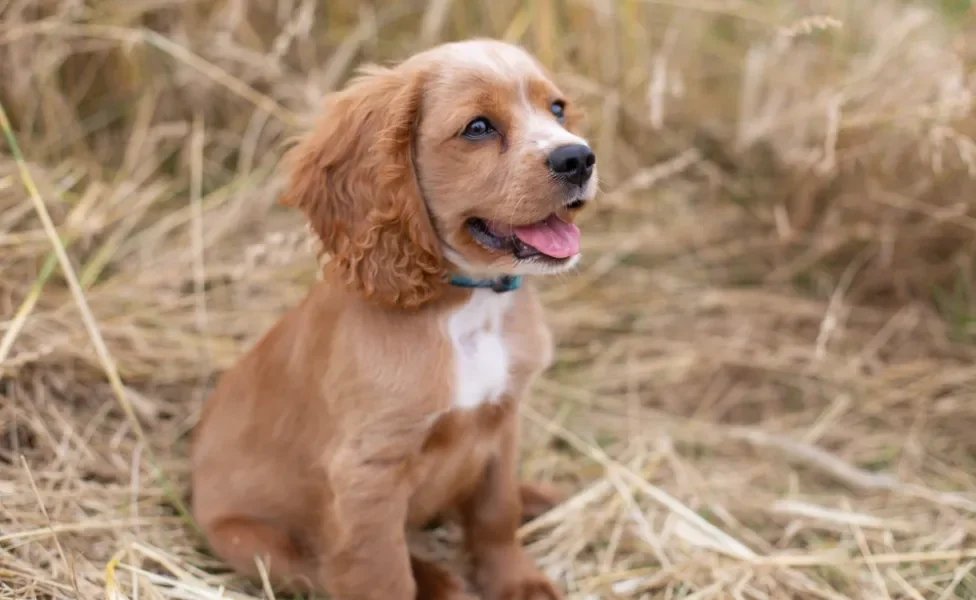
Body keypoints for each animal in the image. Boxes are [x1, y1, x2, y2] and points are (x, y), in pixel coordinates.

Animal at [190, 38, 596, 600]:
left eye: (557, 109)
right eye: (478, 127)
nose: (578, 157)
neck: (469, 305)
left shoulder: (503, 420)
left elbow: (495, 513)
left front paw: (519, 583)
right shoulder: (367, 470)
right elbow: (382, 569)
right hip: (253, 542)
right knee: (324, 568)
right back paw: (437, 579)